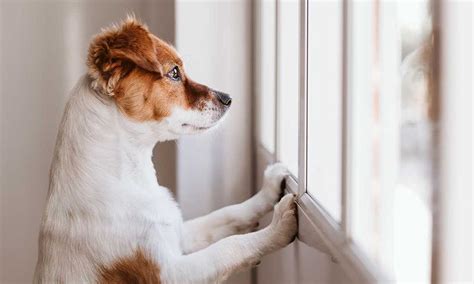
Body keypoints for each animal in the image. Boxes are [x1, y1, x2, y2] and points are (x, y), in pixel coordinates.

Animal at [33, 16, 296, 284]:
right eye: (174, 73)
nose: (228, 98)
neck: (130, 178)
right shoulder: (170, 273)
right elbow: (229, 247)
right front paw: (278, 227)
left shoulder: (178, 234)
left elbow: (227, 214)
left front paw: (269, 189)